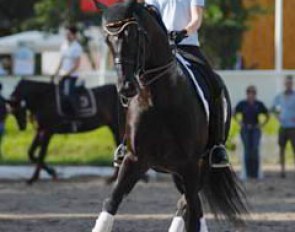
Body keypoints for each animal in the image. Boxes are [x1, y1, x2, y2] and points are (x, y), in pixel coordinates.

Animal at [92, 1, 247, 232]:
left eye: (134, 35)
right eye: (107, 39)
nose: (126, 87)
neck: (157, 99)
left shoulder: (190, 164)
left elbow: (190, 210)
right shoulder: (134, 159)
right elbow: (111, 201)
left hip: (201, 164)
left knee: (189, 204)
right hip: (176, 170)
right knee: (190, 203)